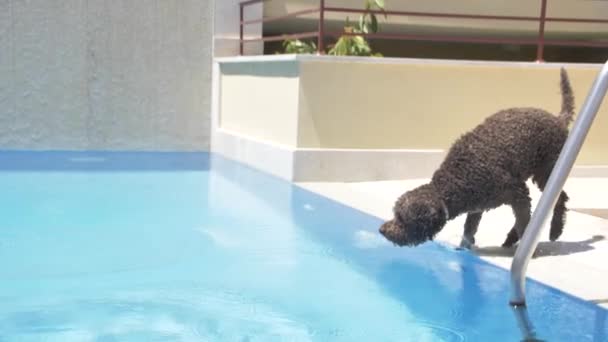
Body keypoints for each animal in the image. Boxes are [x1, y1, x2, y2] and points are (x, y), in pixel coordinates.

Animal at [380, 67, 576, 248]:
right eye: (395, 214)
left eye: (402, 219)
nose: (381, 230)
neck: (456, 180)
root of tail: (558, 119)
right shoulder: (477, 207)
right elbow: (469, 228)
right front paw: (464, 248)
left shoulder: (517, 192)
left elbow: (523, 223)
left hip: (548, 173)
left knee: (561, 198)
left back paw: (554, 230)